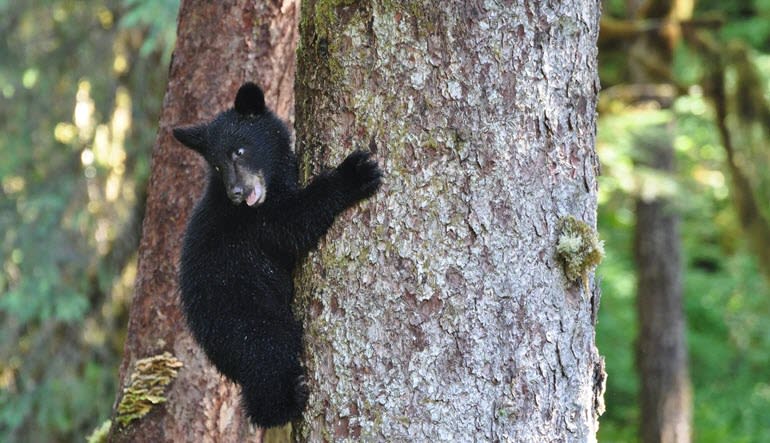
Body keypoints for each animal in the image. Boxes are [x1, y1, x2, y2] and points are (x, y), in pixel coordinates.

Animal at [173, 82, 382, 428]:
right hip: (251, 323)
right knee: (269, 360)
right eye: (216, 164)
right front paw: (355, 173)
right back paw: (286, 403)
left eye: (239, 151)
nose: (236, 193)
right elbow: (296, 222)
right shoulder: (259, 223)